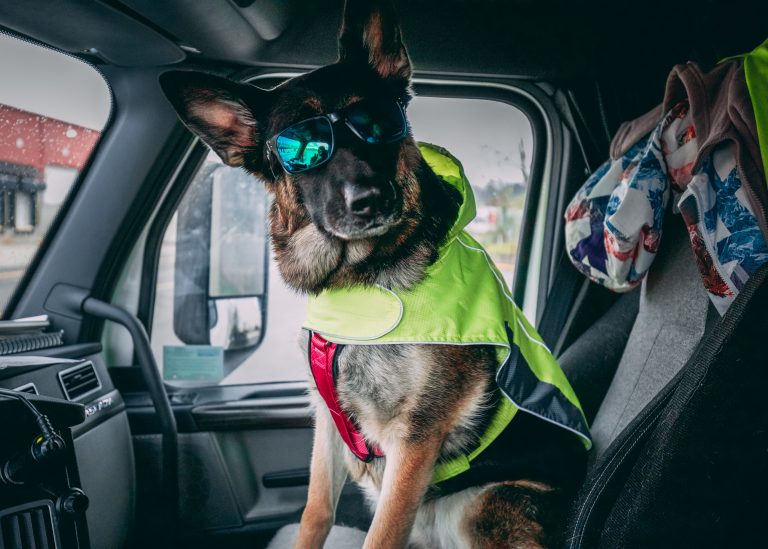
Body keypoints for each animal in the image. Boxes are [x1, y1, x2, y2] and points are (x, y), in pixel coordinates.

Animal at [160, 0, 584, 544]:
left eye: (378, 122)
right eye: (302, 148)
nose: (372, 199)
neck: (359, 283)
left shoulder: (414, 438)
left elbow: (382, 533)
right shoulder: (328, 422)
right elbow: (316, 509)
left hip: (483, 507)